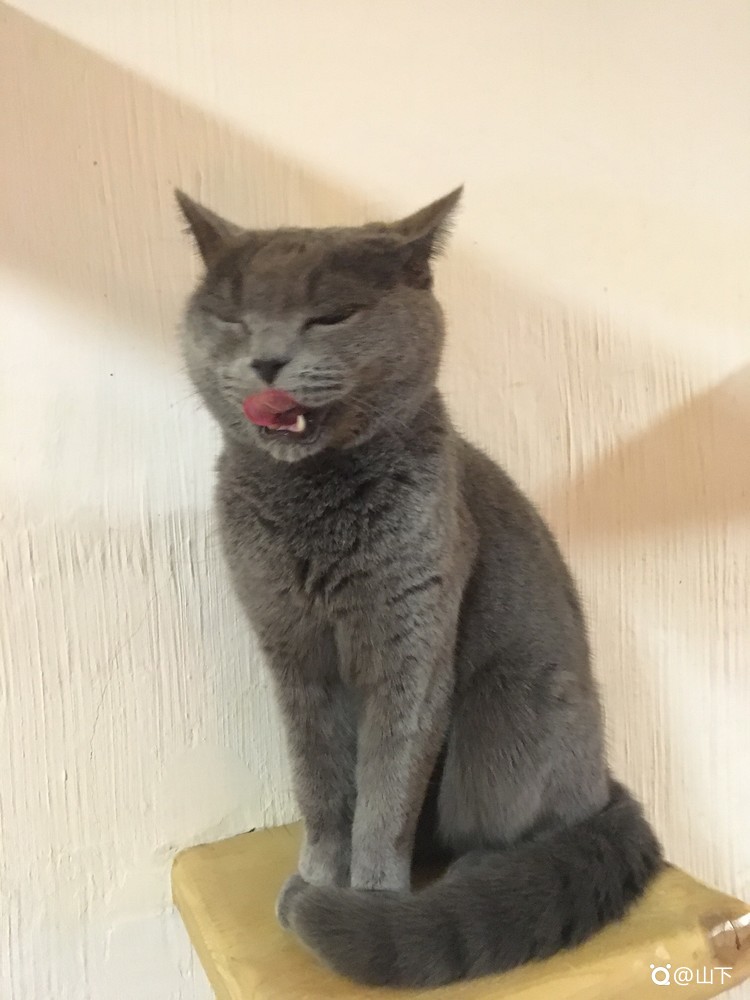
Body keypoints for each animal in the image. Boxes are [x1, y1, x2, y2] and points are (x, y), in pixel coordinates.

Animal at [177, 186, 662, 988]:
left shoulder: (411, 643)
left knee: (529, 823)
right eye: (232, 317)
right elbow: (320, 785)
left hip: (506, 719)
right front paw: (316, 876)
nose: (266, 359)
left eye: (332, 316)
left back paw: (480, 880)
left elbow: (385, 790)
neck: (310, 504)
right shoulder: (293, 658)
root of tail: (611, 781)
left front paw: (368, 905)